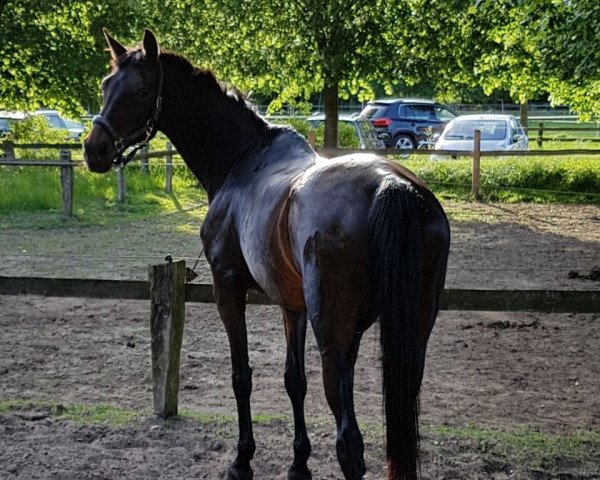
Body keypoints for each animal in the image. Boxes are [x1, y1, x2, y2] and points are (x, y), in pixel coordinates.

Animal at [84, 30, 450, 480]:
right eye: (106, 86)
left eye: (139, 89)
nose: (94, 149)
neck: (243, 159)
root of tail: (389, 185)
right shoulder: (292, 305)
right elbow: (294, 380)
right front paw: (298, 464)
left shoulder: (228, 289)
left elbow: (242, 375)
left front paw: (242, 460)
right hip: (407, 334)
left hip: (334, 337)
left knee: (349, 442)